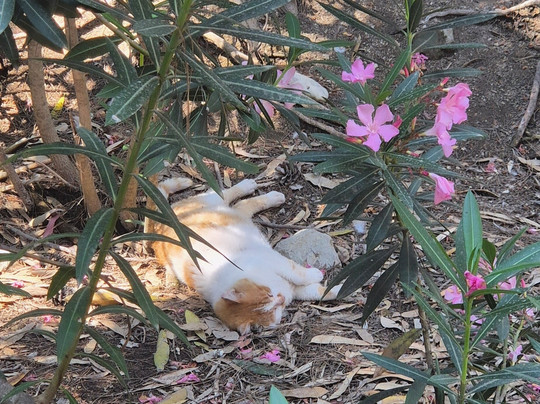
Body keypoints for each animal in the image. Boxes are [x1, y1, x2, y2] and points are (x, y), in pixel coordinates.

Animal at [149, 177, 341, 334]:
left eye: (269, 294)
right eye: (273, 309)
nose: (281, 299)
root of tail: (160, 223)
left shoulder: (272, 259)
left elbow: (298, 273)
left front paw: (317, 275)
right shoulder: (292, 288)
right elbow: (318, 291)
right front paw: (338, 288)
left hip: (211, 201)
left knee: (225, 194)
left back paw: (255, 188)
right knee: (241, 206)